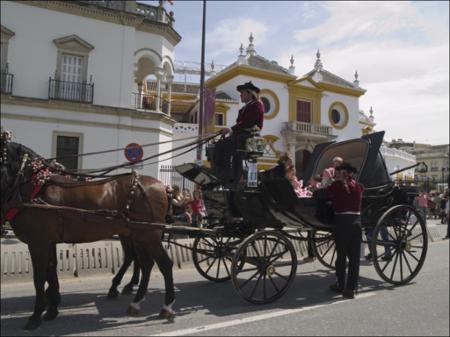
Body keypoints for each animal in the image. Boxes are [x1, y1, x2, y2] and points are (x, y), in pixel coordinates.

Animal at [0, 138, 175, 330]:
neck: (32, 186)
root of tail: (162, 186)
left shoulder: (38, 242)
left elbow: (39, 276)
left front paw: (35, 316)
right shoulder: (49, 241)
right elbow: (50, 271)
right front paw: (52, 308)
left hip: (149, 234)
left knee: (164, 264)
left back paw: (166, 307)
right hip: (138, 235)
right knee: (145, 264)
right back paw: (135, 302)